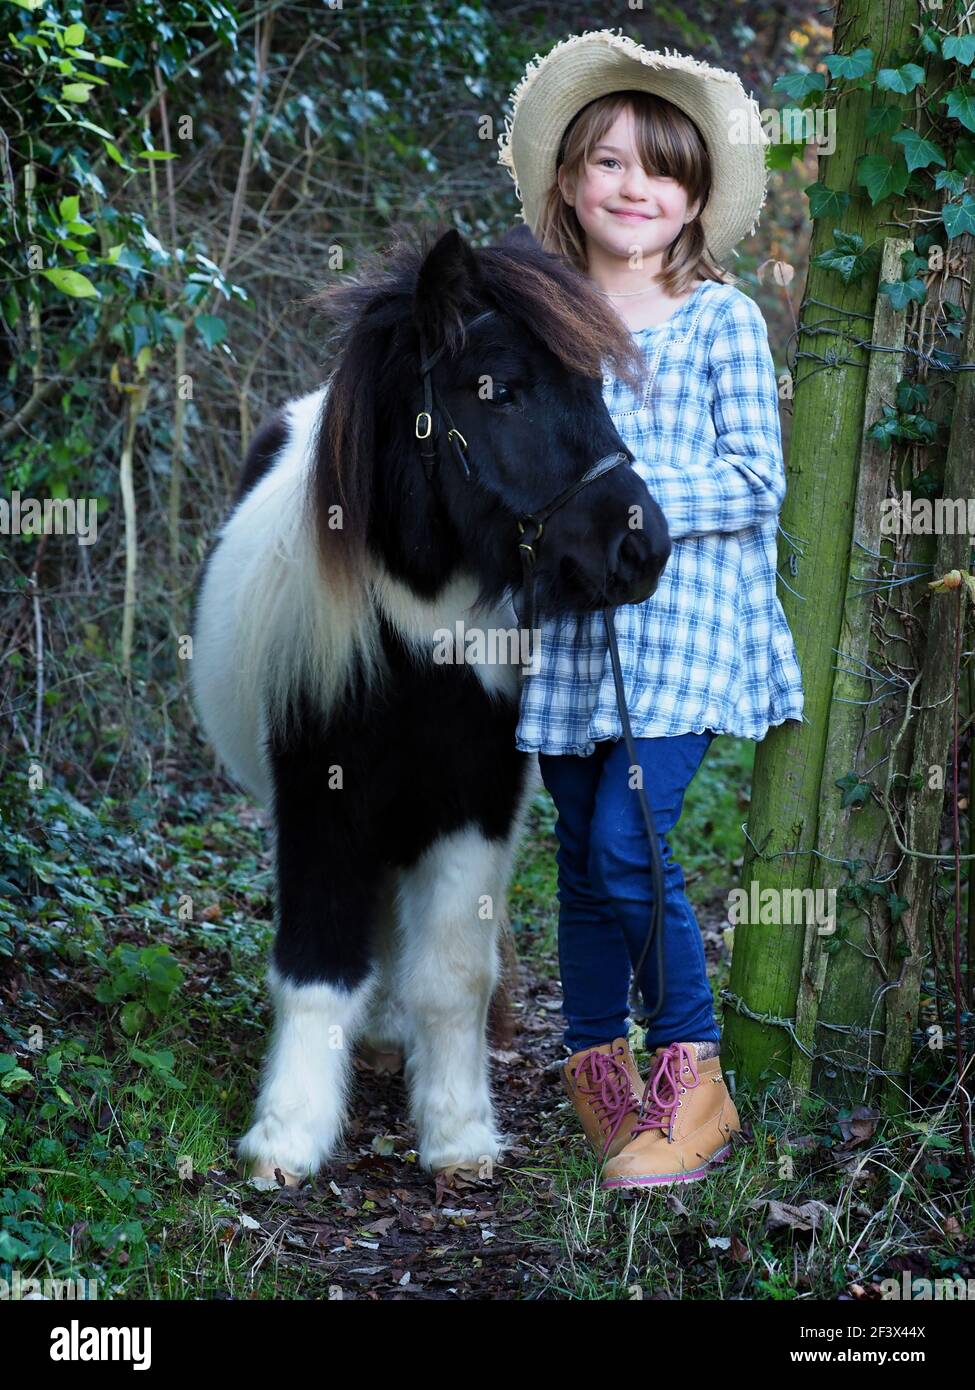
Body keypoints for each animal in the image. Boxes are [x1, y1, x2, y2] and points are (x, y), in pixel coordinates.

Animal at [190, 227, 670, 1184]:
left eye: (596, 387)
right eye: (502, 389)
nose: (643, 548)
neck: (411, 638)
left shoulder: (472, 806)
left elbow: (451, 975)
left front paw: (456, 1136)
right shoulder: (320, 802)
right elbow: (315, 966)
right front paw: (286, 1137)